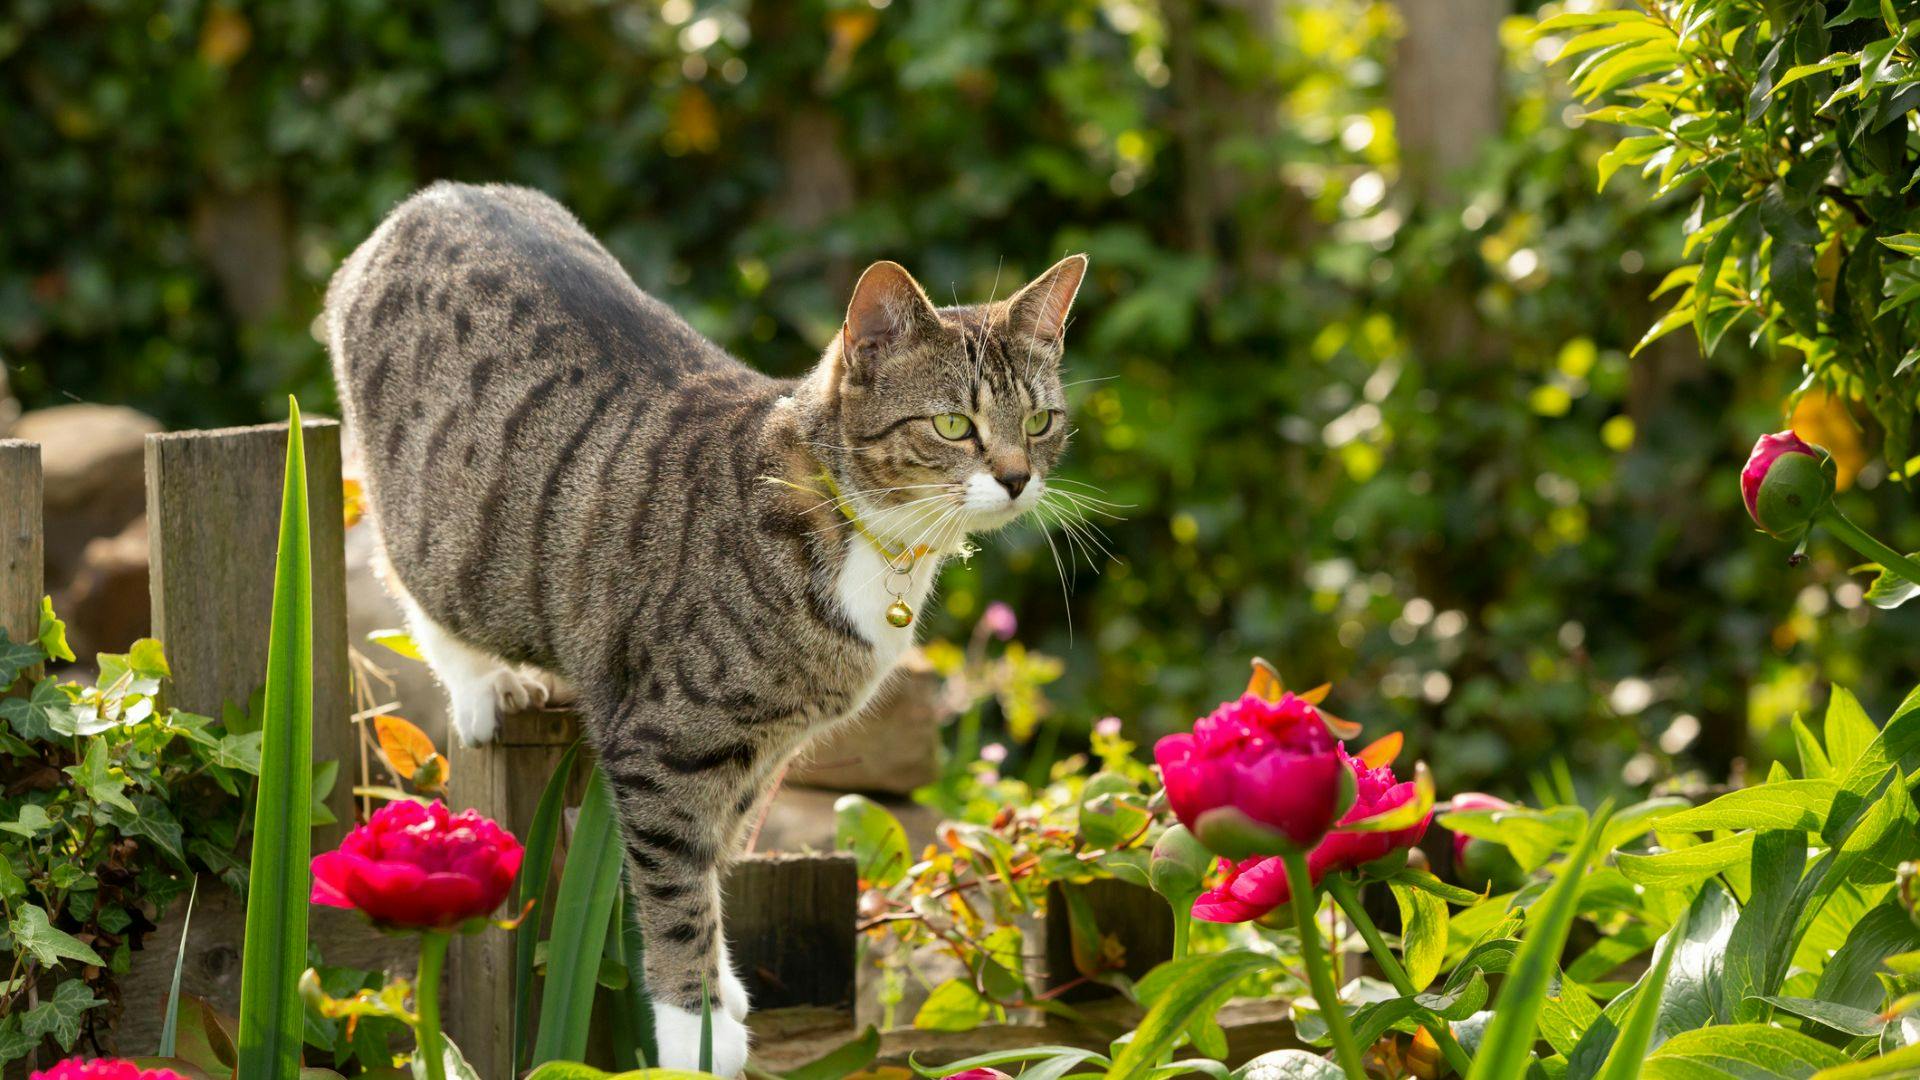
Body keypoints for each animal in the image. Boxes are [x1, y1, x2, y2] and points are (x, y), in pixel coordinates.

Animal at [322, 182, 1090, 1068]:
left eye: (1039, 423)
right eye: (954, 425)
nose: (1017, 478)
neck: (866, 530)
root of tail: (432, 198)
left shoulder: (764, 751)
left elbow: (720, 855)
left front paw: (723, 990)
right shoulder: (664, 743)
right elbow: (678, 882)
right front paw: (698, 1027)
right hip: (439, 532)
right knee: (412, 581)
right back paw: (486, 686)